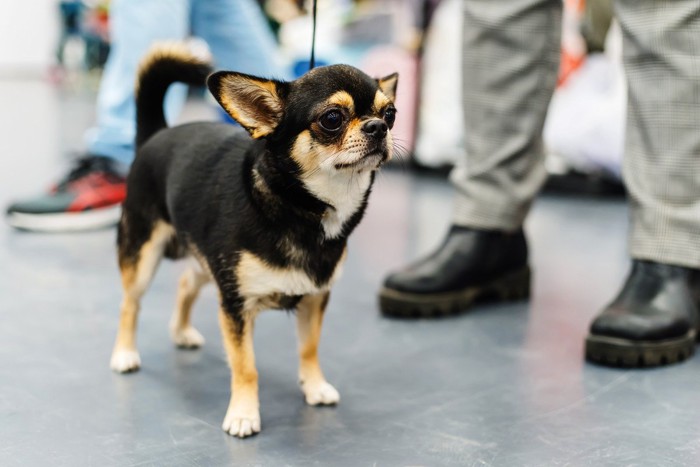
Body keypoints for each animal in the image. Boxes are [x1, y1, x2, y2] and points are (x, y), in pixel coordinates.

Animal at [107, 45, 396, 440]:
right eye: (332, 118)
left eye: (391, 113)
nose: (378, 126)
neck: (306, 209)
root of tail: (158, 135)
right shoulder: (236, 305)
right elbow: (246, 366)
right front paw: (244, 414)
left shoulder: (315, 298)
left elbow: (309, 348)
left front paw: (314, 386)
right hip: (143, 253)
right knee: (129, 303)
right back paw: (124, 354)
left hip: (208, 261)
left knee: (186, 282)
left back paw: (180, 331)